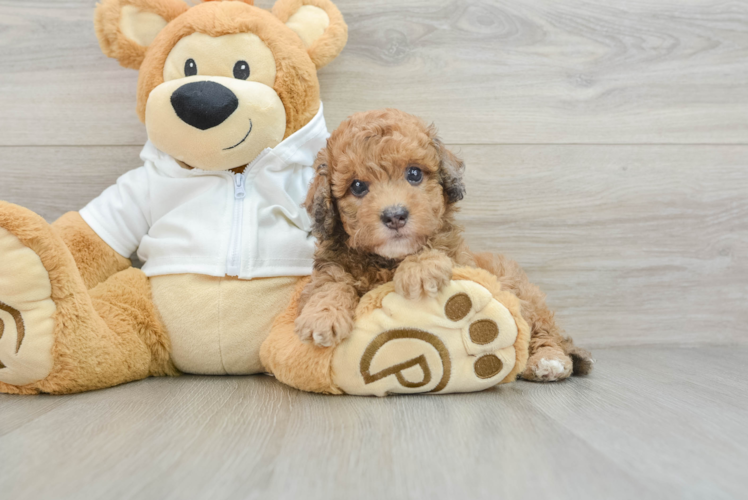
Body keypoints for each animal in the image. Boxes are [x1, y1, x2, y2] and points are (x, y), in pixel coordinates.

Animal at [296, 110, 592, 382]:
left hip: (522, 293)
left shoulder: (460, 259)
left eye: (414, 173)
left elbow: (435, 249)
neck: (388, 260)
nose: (395, 216)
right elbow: (330, 284)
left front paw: (419, 270)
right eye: (357, 186)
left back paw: (548, 361)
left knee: (545, 332)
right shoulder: (331, 266)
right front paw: (321, 316)